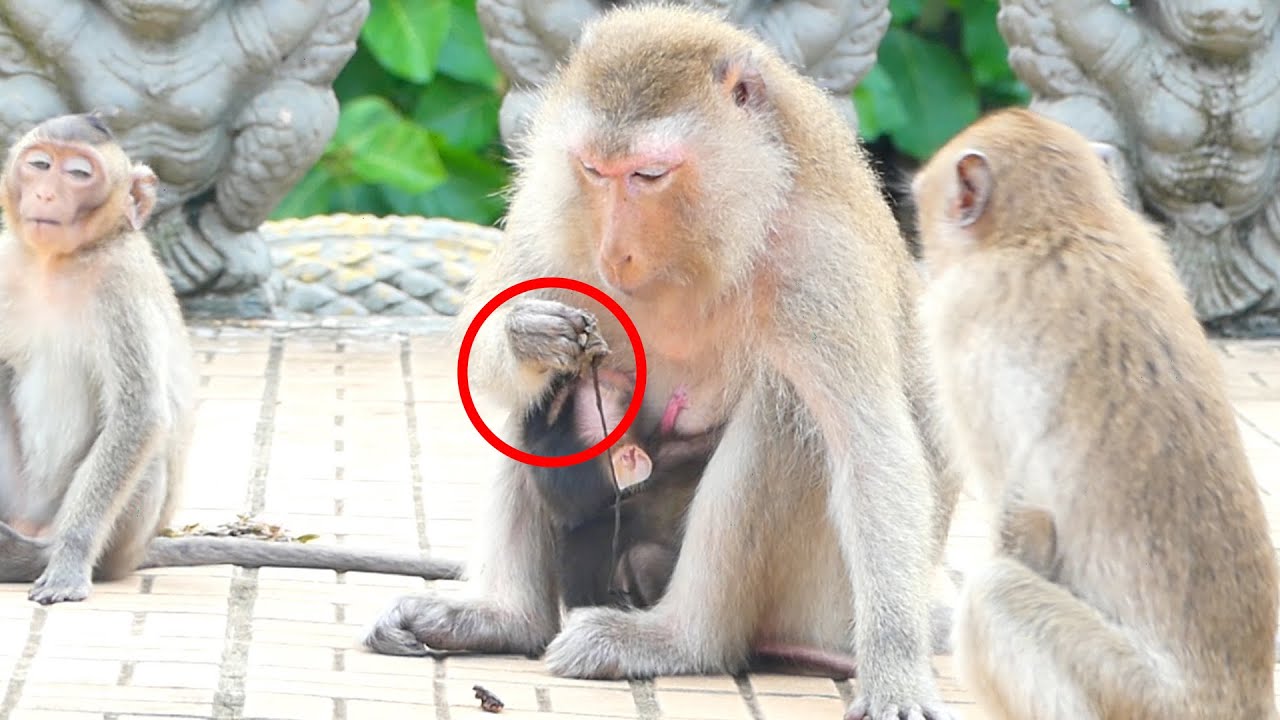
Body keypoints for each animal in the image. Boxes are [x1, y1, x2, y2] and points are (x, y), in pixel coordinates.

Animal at [0, 113, 464, 604]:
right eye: (40, 164)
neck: (56, 263)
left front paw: (69, 563)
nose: (45, 194)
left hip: (121, 533)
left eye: (78, 174)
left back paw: (32, 557)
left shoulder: (121, 286)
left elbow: (138, 415)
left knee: (148, 450)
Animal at [362, 7, 961, 719]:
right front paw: (526, 334)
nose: (614, 253)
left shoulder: (818, 262)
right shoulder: (552, 208)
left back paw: (681, 640)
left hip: (820, 603)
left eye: (648, 175)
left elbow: (873, 451)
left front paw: (896, 674)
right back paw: (506, 620)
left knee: (785, 412)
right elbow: (481, 358)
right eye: (596, 171)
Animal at [911, 107, 1280, 720]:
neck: (1064, 224)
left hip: (1135, 694)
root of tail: (1237, 699)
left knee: (995, 593)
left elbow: (1028, 519)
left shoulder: (962, 333)